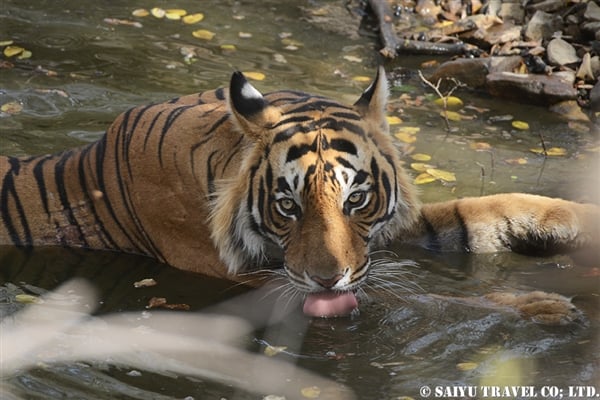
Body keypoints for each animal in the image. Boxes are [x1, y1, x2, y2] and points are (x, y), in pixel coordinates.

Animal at [0, 68, 596, 318]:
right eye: (287, 206)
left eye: (356, 200)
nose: (328, 279)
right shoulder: (255, 276)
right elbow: (420, 295)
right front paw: (539, 307)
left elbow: (485, 211)